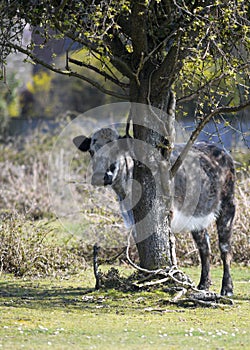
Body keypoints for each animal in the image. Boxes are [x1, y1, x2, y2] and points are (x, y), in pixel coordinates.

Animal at [73, 126, 236, 296]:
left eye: (116, 150)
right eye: (91, 151)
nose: (100, 176)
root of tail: (218, 149)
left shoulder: (166, 213)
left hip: (228, 205)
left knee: (225, 248)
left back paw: (227, 288)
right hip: (197, 215)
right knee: (204, 247)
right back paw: (203, 285)